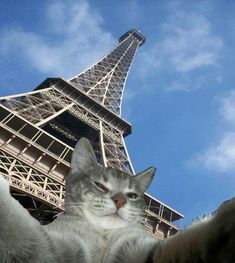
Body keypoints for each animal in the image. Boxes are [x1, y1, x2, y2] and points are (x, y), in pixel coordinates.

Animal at [0, 137, 234, 262]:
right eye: (100, 185)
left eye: (132, 195)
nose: (120, 200)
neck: (104, 234)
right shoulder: (57, 247)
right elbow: (21, 232)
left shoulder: (138, 248)